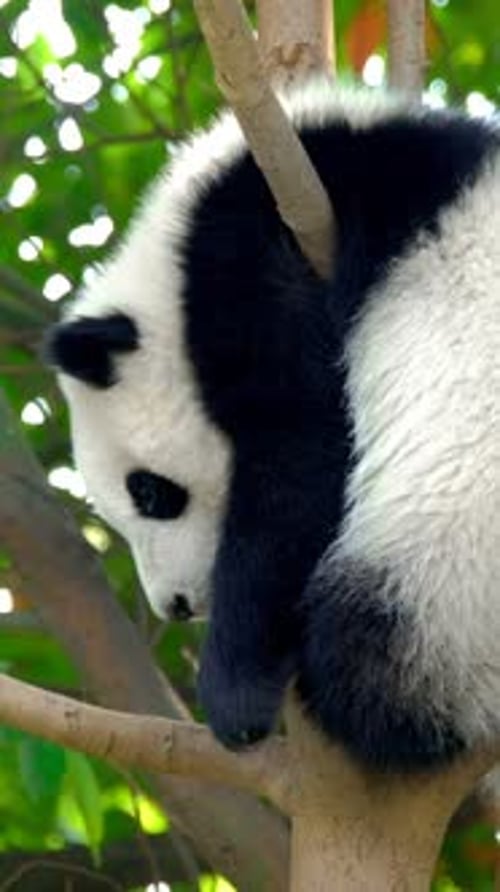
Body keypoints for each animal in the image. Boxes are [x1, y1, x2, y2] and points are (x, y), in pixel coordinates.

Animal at [46, 81, 500, 771]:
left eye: (150, 493)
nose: (177, 606)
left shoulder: (263, 244)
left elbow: (298, 444)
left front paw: (233, 693)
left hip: (450, 564)